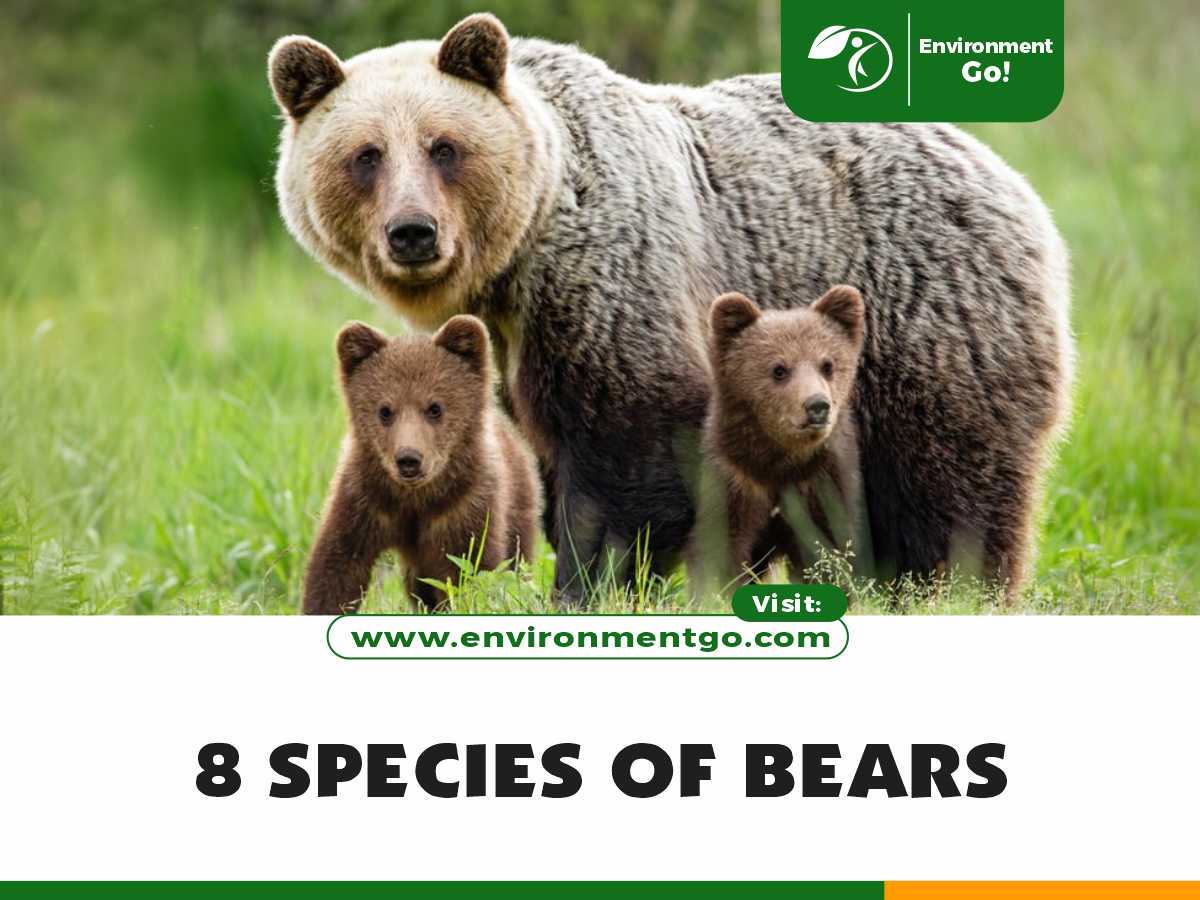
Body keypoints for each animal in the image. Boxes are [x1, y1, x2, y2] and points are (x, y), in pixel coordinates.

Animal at [303, 315, 541, 614]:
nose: (409, 459)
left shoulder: (464, 507)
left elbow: (470, 570)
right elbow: (337, 567)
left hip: (518, 505)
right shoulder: (364, 500)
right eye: (384, 410)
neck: (415, 499)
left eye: (435, 407)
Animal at [698, 287, 868, 586]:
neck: (779, 465)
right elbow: (722, 549)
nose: (817, 405)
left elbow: (829, 549)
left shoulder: (821, 482)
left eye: (827, 365)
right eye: (779, 369)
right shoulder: (736, 480)